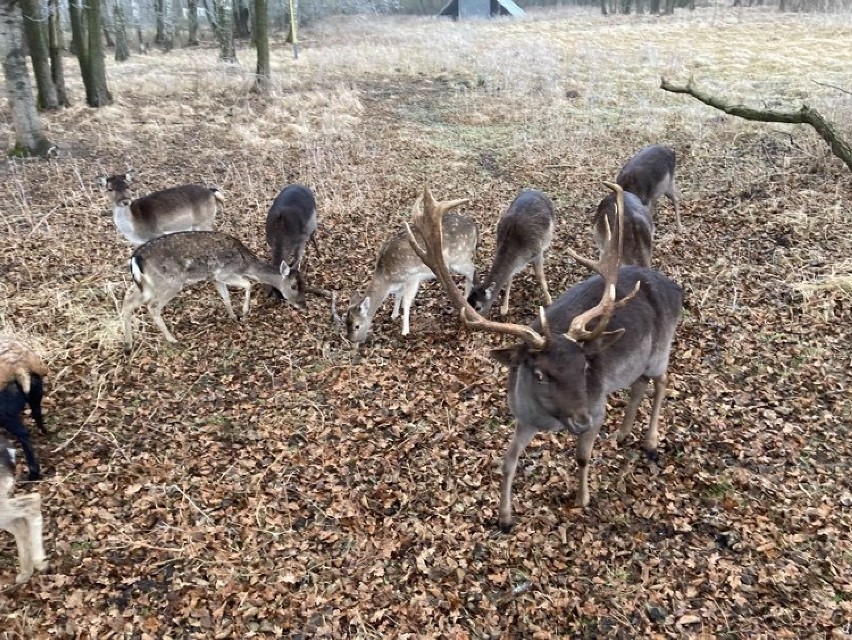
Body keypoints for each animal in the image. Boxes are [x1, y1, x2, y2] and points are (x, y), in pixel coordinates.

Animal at [119, 230, 306, 350]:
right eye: (293, 286)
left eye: (304, 283)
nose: (303, 304)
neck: (246, 265)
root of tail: (135, 258)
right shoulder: (224, 272)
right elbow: (248, 284)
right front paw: (244, 312)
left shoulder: (214, 278)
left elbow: (226, 297)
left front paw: (234, 317)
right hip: (169, 282)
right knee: (153, 306)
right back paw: (172, 340)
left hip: (145, 285)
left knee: (127, 301)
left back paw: (128, 345)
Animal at [466, 190, 552, 318]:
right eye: (467, 301)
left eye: (478, 307)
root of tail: (535, 190)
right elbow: (509, 279)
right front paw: (504, 309)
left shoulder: (537, 252)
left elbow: (540, 275)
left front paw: (549, 300)